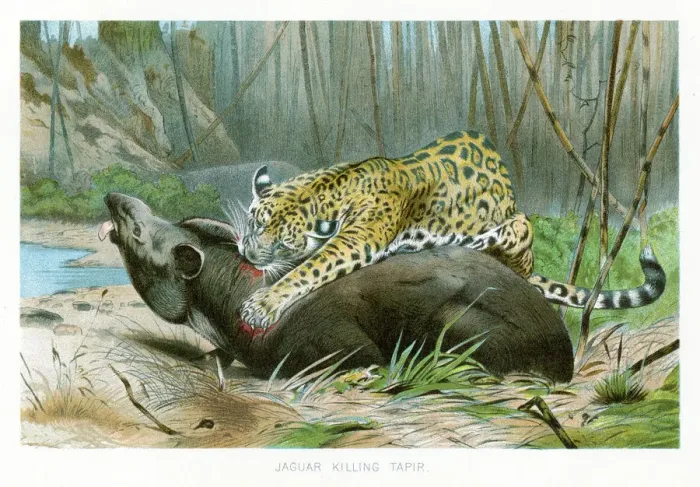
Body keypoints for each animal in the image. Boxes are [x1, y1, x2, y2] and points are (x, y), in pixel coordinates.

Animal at [235, 130, 666, 329]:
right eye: (256, 222)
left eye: (283, 243)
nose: (248, 255)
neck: (328, 185)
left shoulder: (358, 239)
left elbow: (312, 268)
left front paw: (263, 305)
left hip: (518, 227)